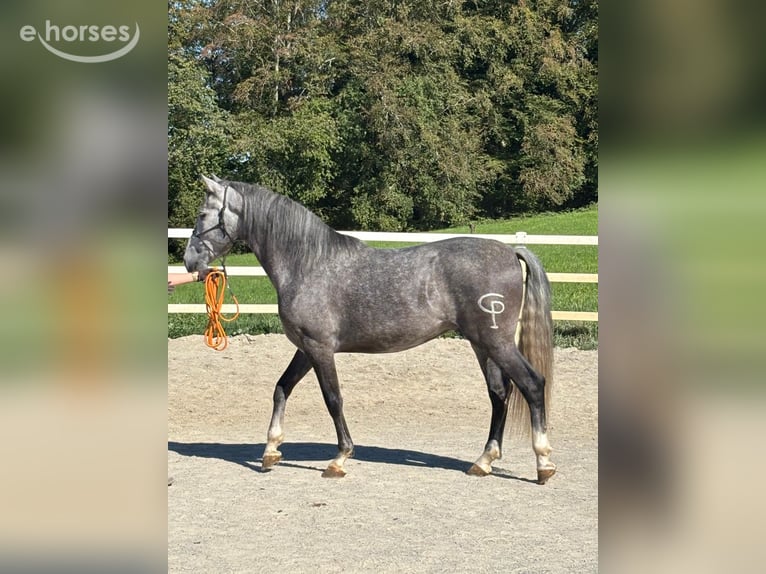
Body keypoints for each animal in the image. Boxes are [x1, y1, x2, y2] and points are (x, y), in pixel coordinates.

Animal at [184, 175, 556, 484]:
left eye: (202, 215)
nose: (189, 262)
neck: (307, 264)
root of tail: (510, 250)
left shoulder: (320, 349)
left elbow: (333, 399)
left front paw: (339, 459)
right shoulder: (305, 348)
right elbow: (281, 388)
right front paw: (271, 450)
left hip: (497, 343)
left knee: (532, 385)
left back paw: (543, 463)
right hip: (483, 346)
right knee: (499, 394)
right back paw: (484, 461)